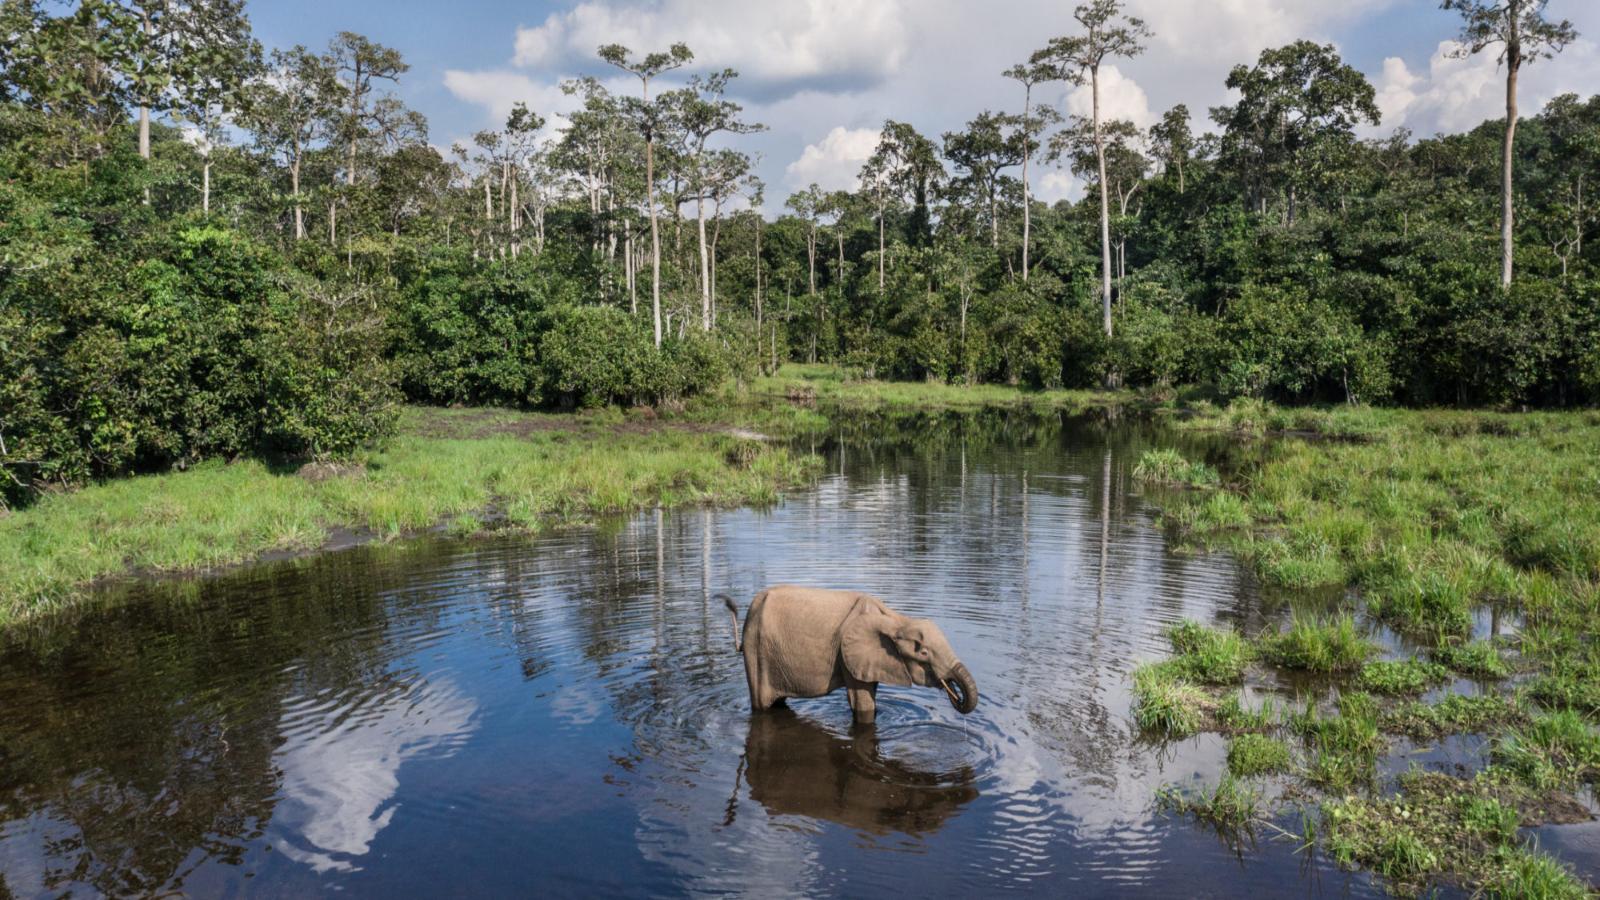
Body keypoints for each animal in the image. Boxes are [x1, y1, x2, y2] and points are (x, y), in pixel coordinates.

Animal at [719, 585, 978, 725]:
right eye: (923, 652)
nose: (956, 696)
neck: (895, 619)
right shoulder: (848, 653)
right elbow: (862, 704)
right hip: (755, 649)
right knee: (762, 705)